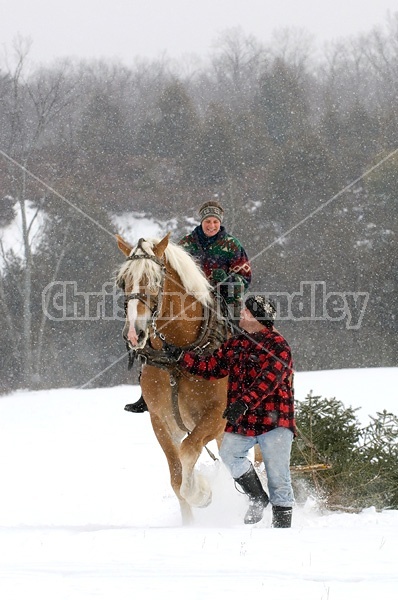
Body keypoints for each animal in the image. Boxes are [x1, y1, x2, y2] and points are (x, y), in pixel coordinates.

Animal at [115, 234, 229, 524]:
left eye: (155, 279)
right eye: (124, 281)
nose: (134, 333)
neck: (178, 357)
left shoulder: (218, 415)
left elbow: (189, 450)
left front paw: (202, 492)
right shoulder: (161, 422)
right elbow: (176, 480)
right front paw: (189, 522)